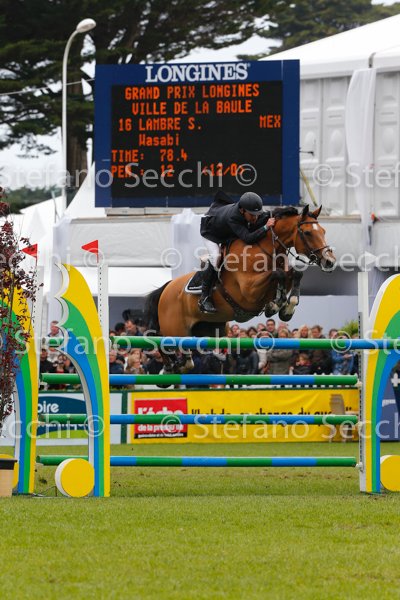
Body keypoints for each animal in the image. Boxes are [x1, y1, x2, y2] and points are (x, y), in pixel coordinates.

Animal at [145, 205, 336, 373]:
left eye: (324, 231)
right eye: (308, 233)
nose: (330, 261)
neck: (265, 251)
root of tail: (166, 289)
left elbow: (295, 274)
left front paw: (286, 308)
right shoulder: (249, 291)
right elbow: (278, 274)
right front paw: (275, 305)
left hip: (211, 330)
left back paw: (176, 365)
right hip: (174, 328)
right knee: (160, 339)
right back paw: (173, 365)